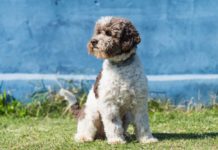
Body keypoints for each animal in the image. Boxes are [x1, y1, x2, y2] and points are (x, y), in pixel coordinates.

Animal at [74, 16, 158, 144]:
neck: (121, 66)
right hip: (91, 113)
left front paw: (147, 139)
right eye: (98, 32)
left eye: (109, 33)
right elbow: (113, 123)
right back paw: (83, 137)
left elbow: (142, 122)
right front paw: (116, 140)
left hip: (127, 115)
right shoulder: (109, 103)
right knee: (86, 127)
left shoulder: (139, 102)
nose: (93, 41)